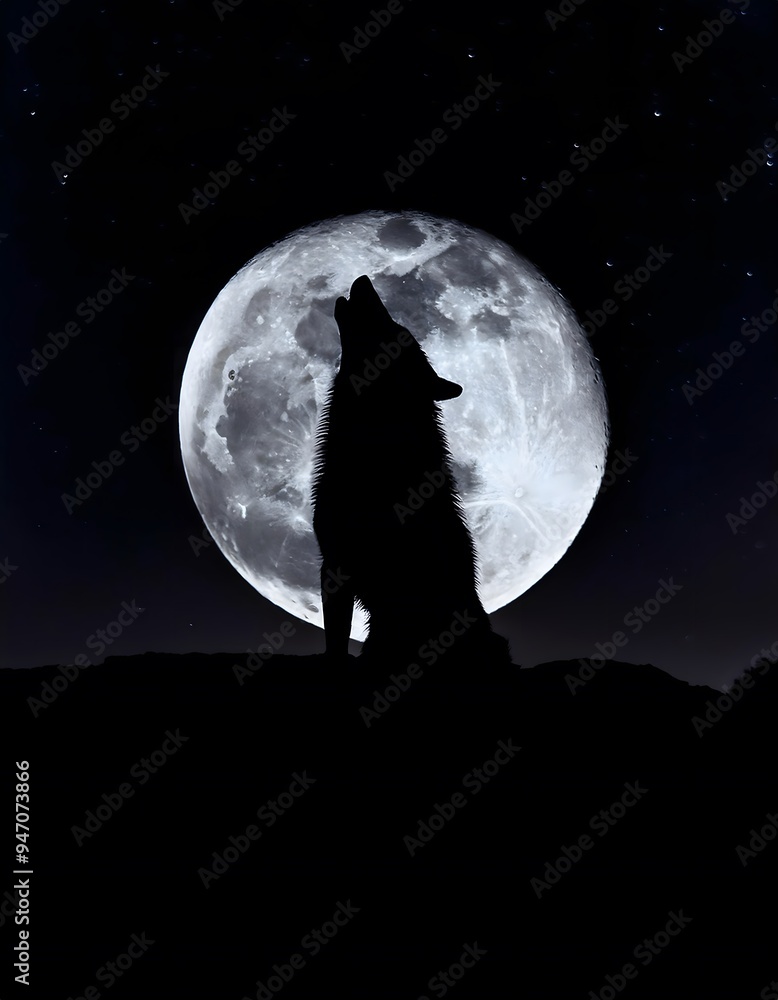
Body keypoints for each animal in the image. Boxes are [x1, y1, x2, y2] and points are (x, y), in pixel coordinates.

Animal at [311, 275, 510, 665]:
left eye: (396, 330)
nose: (363, 279)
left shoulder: (341, 563)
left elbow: (337, 638)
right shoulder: (333, 563)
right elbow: (335, 638)